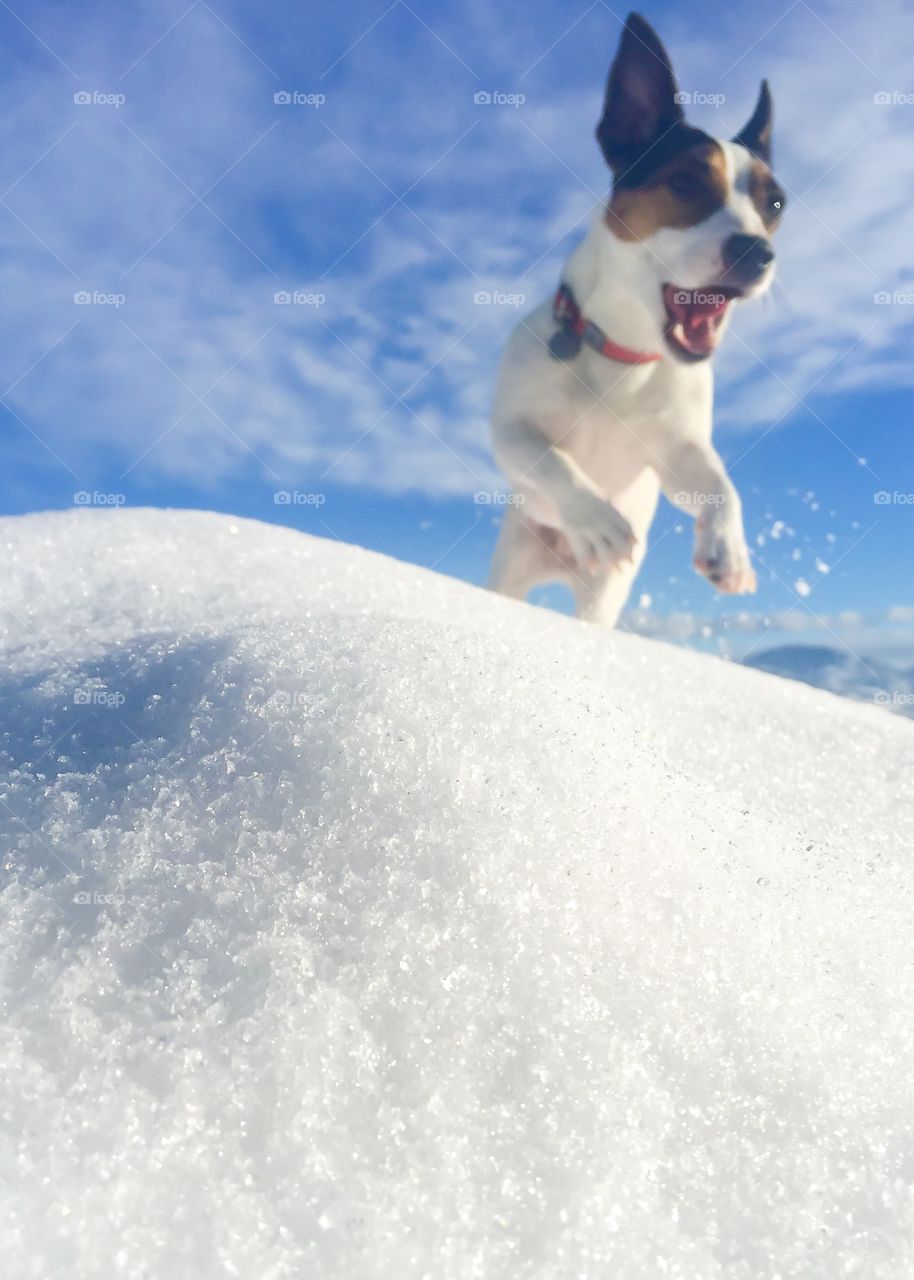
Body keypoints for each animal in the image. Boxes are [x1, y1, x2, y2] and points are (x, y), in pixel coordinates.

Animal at [489, 11, 778, 624]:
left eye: (775, 204)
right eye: (686, 182)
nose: (758, 253)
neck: (623, 353)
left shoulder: (676, 453)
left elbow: (721, 484)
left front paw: (729, 548)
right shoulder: (512, 431)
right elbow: (550, 460)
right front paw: (597, 519)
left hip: (603, 597)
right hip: (513, 567)